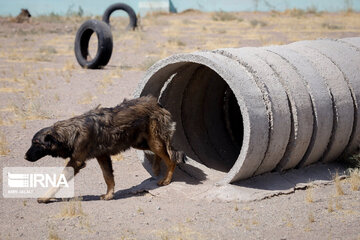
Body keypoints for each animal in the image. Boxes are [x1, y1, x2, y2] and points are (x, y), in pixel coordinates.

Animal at [24, 95, 186, 202]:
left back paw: (166, 180)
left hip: (153, 143)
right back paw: (156, 168)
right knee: (165, 153)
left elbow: (58, 180)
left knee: (171, 159)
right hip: (141, 143)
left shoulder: (76, 162)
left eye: (36, 143)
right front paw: (109, 195)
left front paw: (45, 197)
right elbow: (108, 178)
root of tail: (156, 103)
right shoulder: (102, 156)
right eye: (32, 142)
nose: (25, 157)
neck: (71, 132)